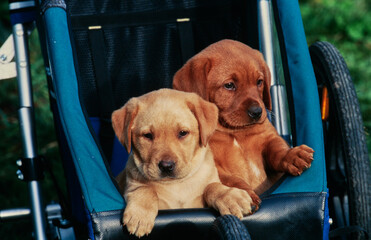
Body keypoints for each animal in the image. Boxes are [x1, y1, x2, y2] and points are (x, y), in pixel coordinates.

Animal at [112, 89, 253, 237]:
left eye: (183, 133)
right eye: (148, 135)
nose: (166, 166)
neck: (176, 185)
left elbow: (212, 186)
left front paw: (231, 197)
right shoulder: (131, 185)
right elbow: (144, 189)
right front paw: (140, 214)